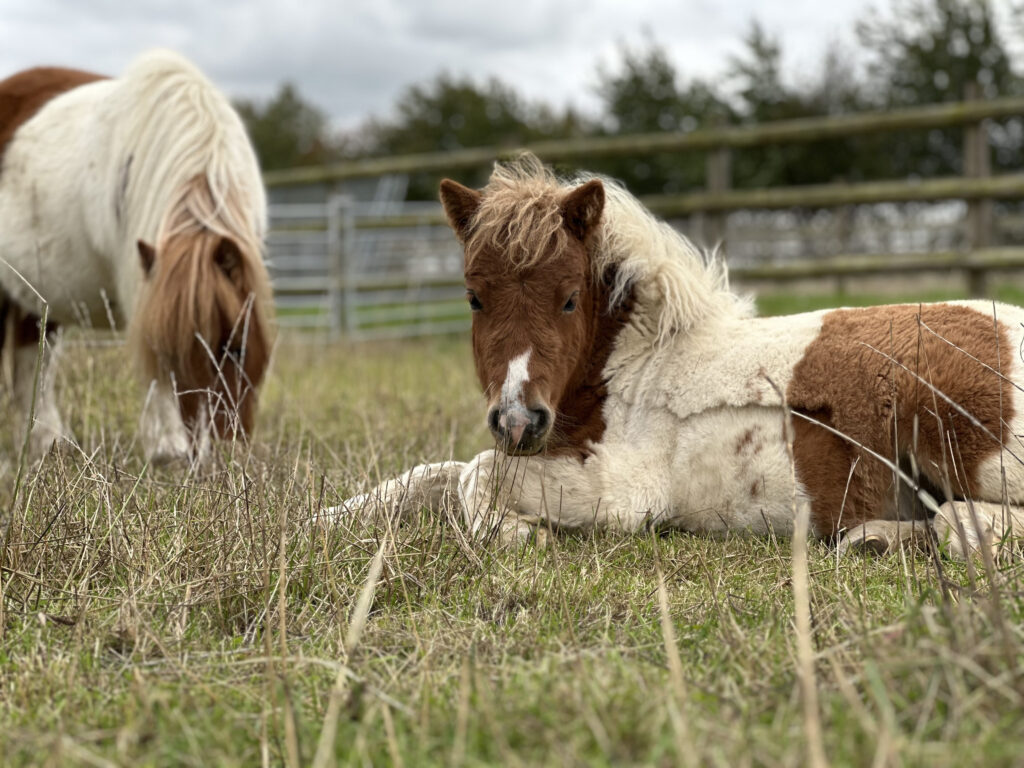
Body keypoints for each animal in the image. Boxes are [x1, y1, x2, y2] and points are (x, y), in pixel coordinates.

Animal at [0, 50, 273, 464]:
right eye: (170, 354)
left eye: (235, 348)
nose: (214, 448)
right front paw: (167, 447)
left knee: (33, 362)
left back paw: (48, 443)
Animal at [337, 153, 1024, 559]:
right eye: (474, 298)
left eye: (568, 299)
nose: (518, 421)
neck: (636, 367)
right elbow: (431, 474)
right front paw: (328, 519)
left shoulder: (621, 494)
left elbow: (476, 474)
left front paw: (516, 533)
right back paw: (872, 537)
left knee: (969, 520)